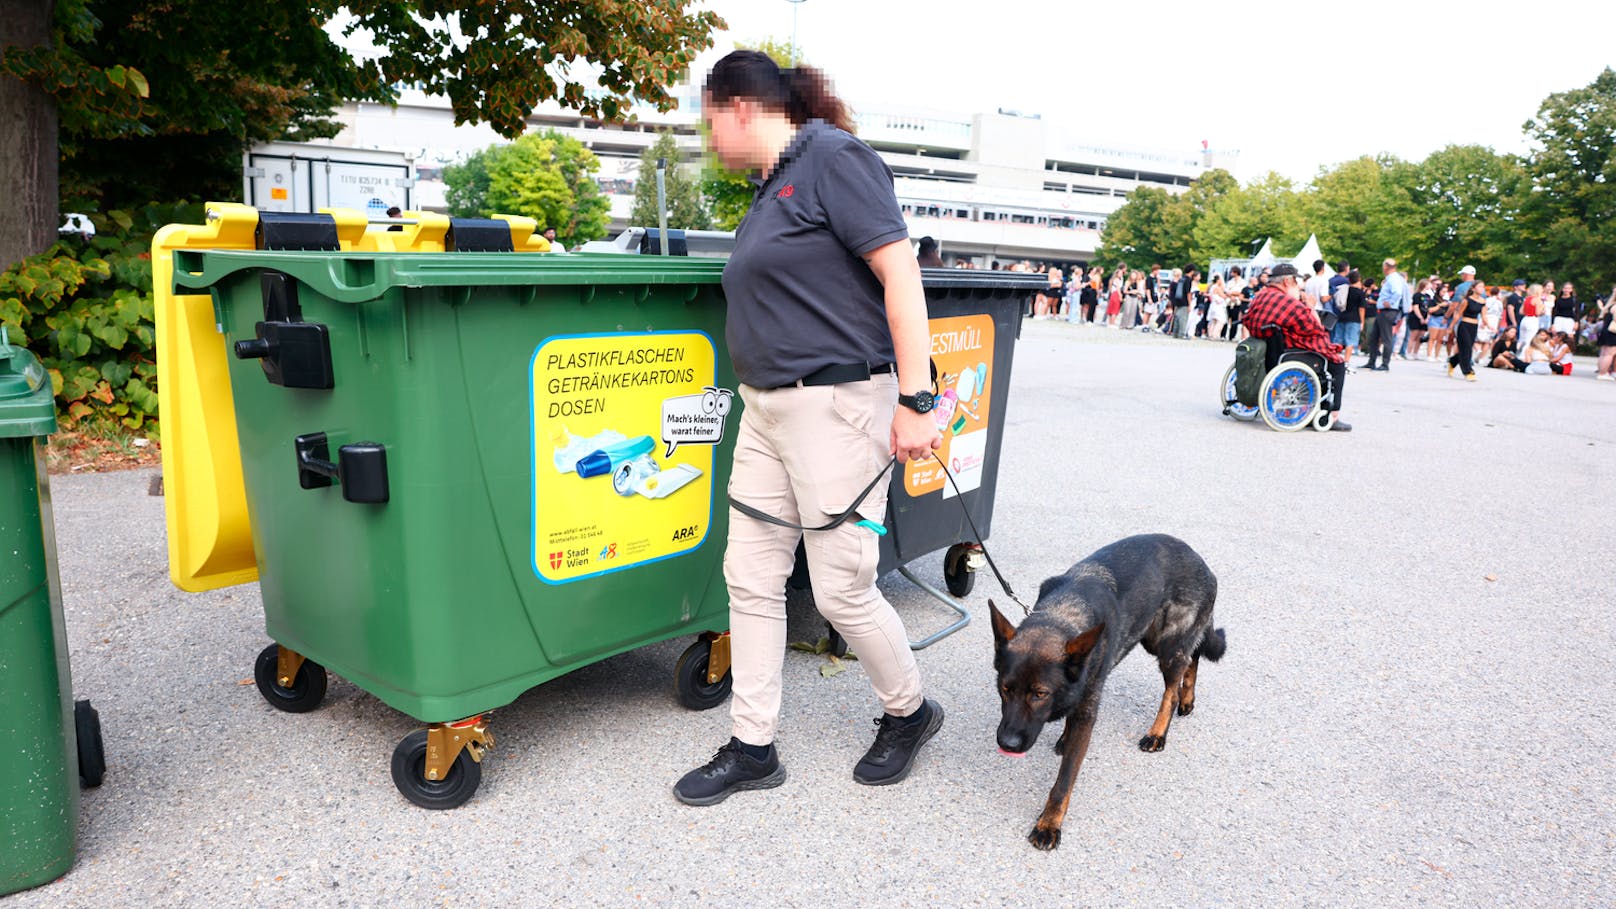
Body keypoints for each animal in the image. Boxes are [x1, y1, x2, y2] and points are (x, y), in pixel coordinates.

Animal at [982, 530, 1221, 847]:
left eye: (1040, 694)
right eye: (1005, 688)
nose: (1007, 744)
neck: (1065, 614)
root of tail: (1200, 560)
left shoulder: (1087, 712)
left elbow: (1064, 780)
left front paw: (1049, 824)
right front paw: (1064, 738)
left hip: (1167, 647)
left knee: (1172, 686)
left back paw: (1159, 730)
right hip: (1153, 639)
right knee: (1193, 655)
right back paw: (1188, 698)